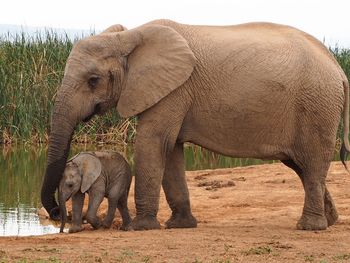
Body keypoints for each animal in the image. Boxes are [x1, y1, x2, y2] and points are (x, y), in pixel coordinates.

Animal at [41, 19, 350, 232]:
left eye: (93, 80)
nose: (56, 213)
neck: (128, 36)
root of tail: (339, 68)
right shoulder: (172, 91)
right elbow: (172, 149)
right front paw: (180, 225)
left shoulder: (174, 89)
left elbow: (153, 142)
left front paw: (141, 228)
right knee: (301, 166)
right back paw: (330, 220)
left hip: (316, 107)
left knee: (311, 163)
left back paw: (309, 227)